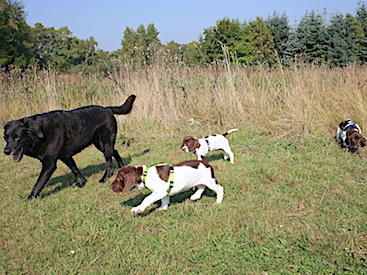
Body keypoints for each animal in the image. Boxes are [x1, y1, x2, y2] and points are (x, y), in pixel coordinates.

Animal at [2, 94, 138, 198]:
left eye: (17, 137)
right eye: (5, 137)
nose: (6, 151)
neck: (40, 132)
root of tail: (107, 109)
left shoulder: (49, 164)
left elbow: (39, 183)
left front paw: (31, 197)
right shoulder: (65, 156)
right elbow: (75, 169)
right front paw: (80, 183)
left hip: (104, 143)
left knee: (109, 161)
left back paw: (104, 178)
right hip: (100, 143)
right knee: (115, 151)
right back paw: (122, 167)